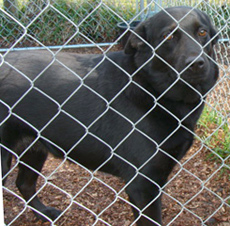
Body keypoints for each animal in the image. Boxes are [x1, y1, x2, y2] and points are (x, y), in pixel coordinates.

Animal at [0, 6, 219, 225]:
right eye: (167, 36)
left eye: (202, 32)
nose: (196, 63)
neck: (153, 89)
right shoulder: (143, 185)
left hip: (33, 148)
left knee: (24, 184)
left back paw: (44, 213)